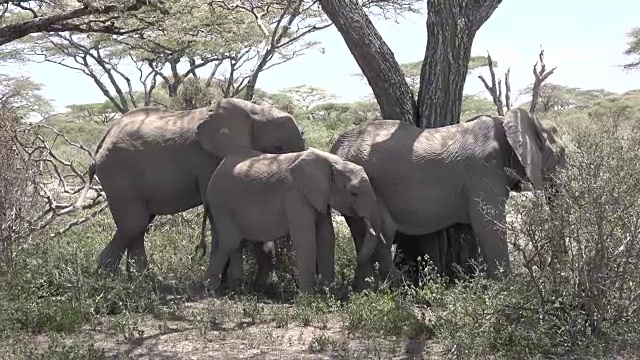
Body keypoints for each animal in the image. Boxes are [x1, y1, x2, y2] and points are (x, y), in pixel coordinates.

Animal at [77, 98, 308, 276]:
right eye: (278, 147)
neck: (253, 110)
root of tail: (103, 141)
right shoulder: (208, 158)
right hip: (118, 175)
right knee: (134, 224)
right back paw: (108, 281)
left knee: (139, 226)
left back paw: (140, 282)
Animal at [202, 148, 388, 294]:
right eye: (354, 192)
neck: (331, 162)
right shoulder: (294, 195)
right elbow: (306, 239)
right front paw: (308, 297)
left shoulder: (319, 196)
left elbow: (327, 236)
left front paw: (329, 292)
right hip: (222, 206)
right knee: (229, 243)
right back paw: (210, 291)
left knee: (235, 245)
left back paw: (238, 290)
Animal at [330, 107, 564, 286]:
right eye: (561, 155)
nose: (552, 271)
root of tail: (336, 146)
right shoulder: (485, 170)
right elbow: (488, 225)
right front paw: (508, 287)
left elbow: (471, 228)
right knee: (380, 234)